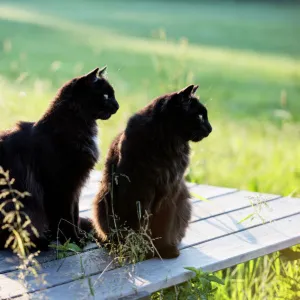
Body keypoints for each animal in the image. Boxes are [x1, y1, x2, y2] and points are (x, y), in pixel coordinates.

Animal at [0, 67, 119, 250]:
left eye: (113, 95)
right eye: (106, 96)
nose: (118, 106)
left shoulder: (75, 187)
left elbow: (74, 215)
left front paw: (78, 237)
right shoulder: (59, 187)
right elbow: (65, 218)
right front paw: (72, 240)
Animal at [92, 84, 212, 258]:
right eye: (200, 116)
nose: (210, 128)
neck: (169, 146)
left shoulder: (170, 192)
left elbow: (164, 225)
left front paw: (165, 248)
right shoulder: (139, 193)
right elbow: (139, 225)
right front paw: (142, 248)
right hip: (103, 201)